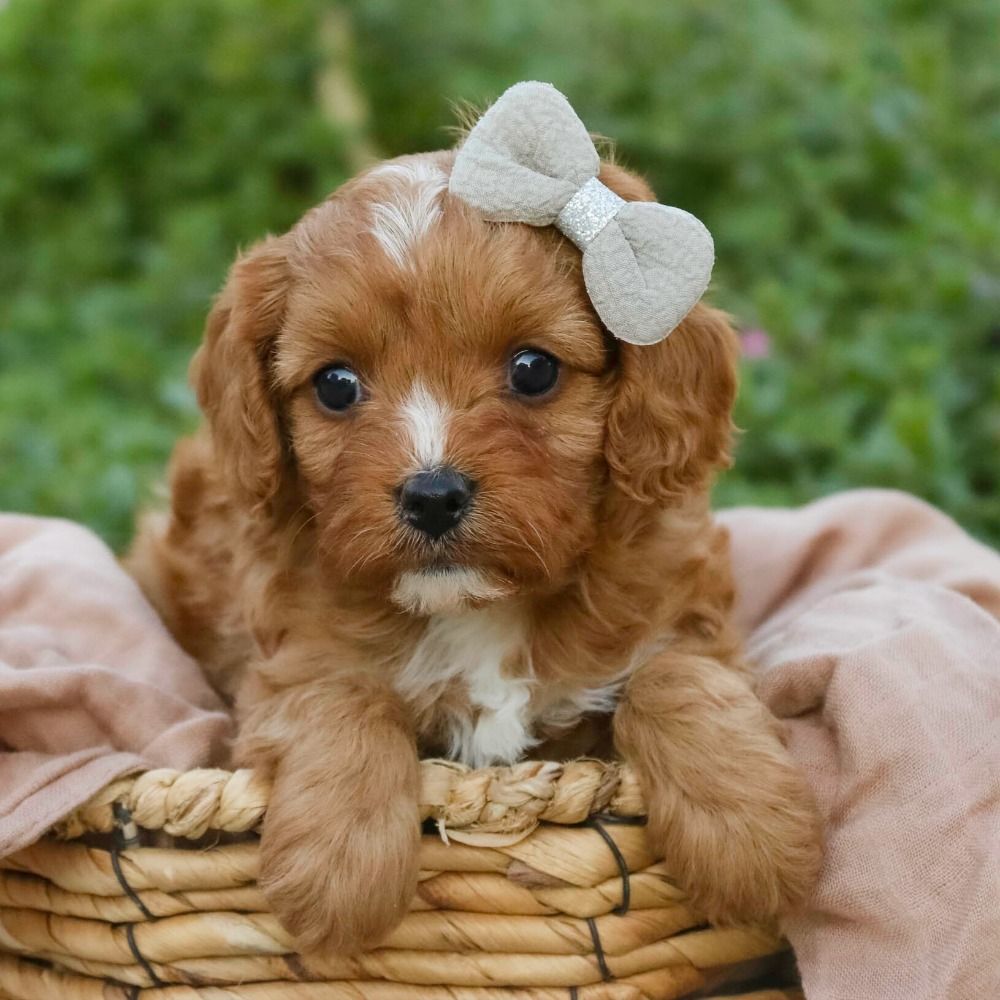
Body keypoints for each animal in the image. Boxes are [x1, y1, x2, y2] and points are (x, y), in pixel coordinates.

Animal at [129, 82, 824, 956]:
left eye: (533, 370)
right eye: (335, 385)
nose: (432, 494)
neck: (478, 606)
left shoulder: (683, 609)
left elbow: (675, 673)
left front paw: (751, 834)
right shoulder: (285, 663)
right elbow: (340, 698)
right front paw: (338, 872)